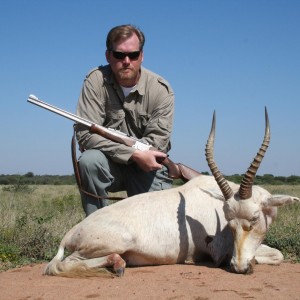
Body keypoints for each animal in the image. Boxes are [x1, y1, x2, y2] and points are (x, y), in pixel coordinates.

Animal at [43, 109, 298, 276]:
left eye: (254, 219)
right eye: (230, 222)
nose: (239, 267)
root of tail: (72, 232)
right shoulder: (219, 252)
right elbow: (277, 255)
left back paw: (118, 263)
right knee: (61, 265)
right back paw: (117, 263)